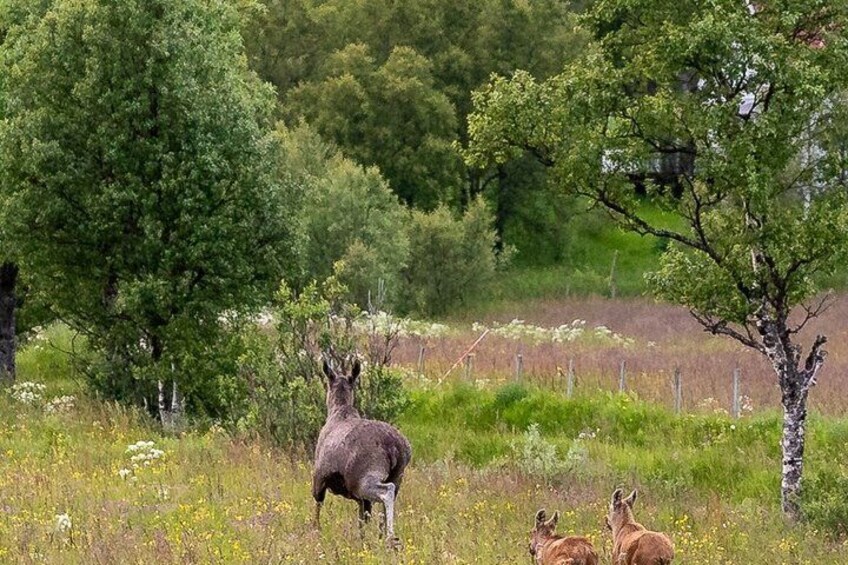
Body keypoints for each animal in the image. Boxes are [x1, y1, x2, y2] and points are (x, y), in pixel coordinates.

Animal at [311, 358, 412, 547]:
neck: (338, 411)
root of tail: (395, 447)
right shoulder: (360, 500)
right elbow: (362, 522)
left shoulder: (319, 476)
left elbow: (317, 506)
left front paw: (315, 532)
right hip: (398, 476)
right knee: (387, 500)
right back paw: (384, 537)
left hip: (363, 479)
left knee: (386, 492)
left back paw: (391, 538)